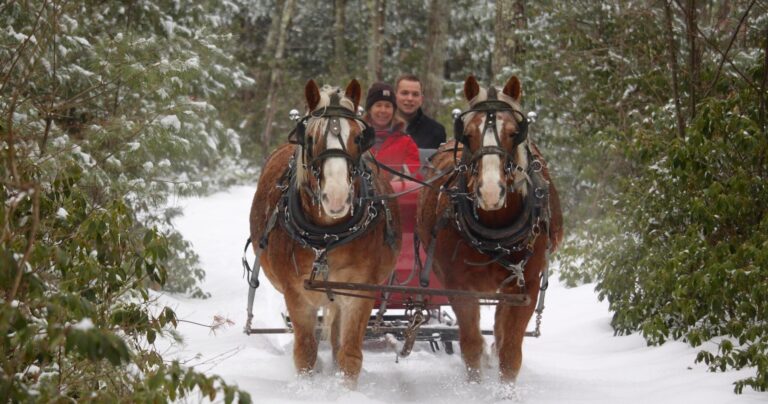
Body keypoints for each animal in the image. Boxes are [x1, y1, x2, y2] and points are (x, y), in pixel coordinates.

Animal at [248, 79, 401, 386]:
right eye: (310, 138)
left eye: (359, 137)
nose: (337, 196)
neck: (327, 238)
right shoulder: (296, 293)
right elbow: (305, 352)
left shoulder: (358, 291)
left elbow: (349, 354)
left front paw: (345, 387)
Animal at [416, 75, 563, 384]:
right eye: (468, 133)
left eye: (514, 132)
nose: (491, 191)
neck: (495, 232)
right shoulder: (459, 287)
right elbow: (471, 347)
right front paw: (475, 386)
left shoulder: (525, 286)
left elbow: (510, 353)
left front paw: (504, 388)